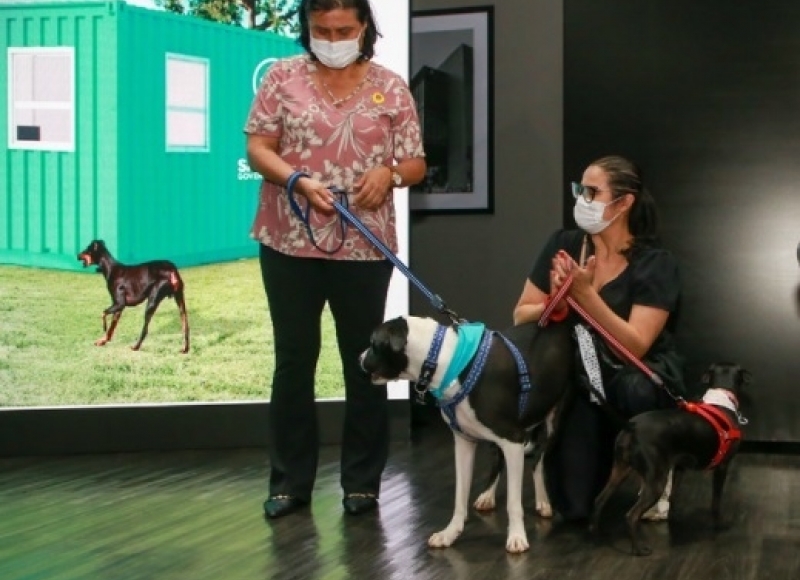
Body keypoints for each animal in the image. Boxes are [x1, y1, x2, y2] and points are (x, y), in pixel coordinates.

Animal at [360, 318, 572, 552]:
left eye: (373, 344)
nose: (359, 358)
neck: (444, 360)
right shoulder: (465, 443)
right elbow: (460, 497)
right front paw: (450, 533)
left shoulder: (513, 439)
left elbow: (514, 502)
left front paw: (517, 536)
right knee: (500, 459)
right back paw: (488, 495)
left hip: (553, 424)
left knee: (538, 462)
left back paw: (543, 500)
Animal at [588, 362, 752, 556]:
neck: (722, 400)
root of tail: (631, 426)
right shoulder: (722, 467)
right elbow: (716, 501)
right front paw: (719, 525)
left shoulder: (680, 467)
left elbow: (674, 494)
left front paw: (672, 518)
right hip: (656, 480)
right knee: (631, 515)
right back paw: (638, 548)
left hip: (620, 470)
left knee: (599, 500)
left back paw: (596, 534)